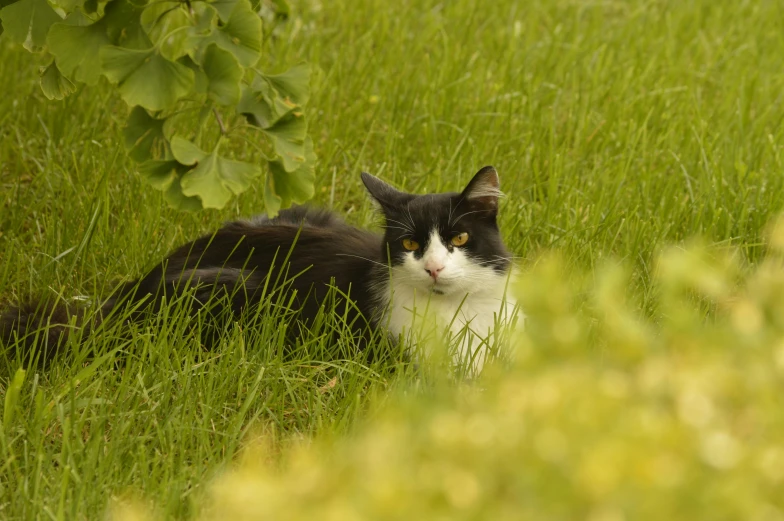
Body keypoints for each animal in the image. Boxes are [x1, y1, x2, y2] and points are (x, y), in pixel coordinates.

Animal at [1, 165, 520, 372]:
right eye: (410, 244)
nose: (433, 269)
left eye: (458, 239)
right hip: (229, 289)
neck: (458, 312)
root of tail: (127, 293)